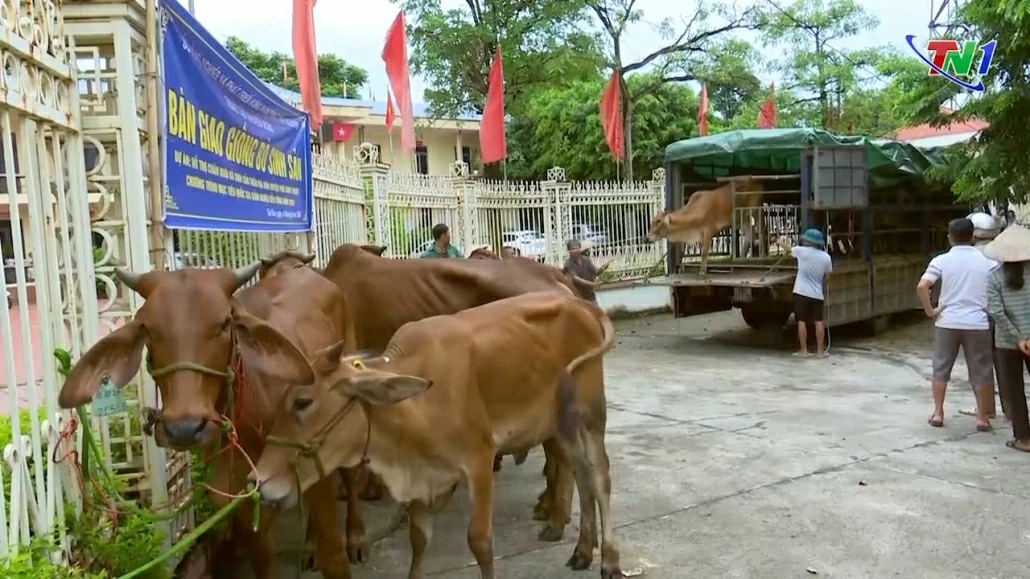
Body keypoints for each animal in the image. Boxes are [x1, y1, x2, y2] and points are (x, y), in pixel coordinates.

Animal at [57, 261, 366, 576]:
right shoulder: (245, 508)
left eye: (223, 324)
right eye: (148, 329)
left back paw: (356, 537)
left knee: (353, 476)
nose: (184, 428)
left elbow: (334, 557)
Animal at [251, 292, 618, 576]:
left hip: (590, 415)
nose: (257, 481)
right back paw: (583, 551)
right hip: (562, 427)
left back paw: (610, 561)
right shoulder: (420, 478)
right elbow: (418, 539)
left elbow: (480, 542)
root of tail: (578, 303)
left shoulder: (480, 460)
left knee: (599, 477)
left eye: (302, 402)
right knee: (581, 475)